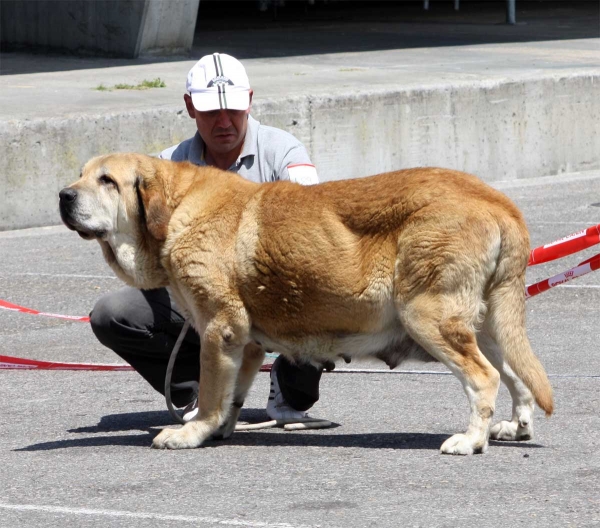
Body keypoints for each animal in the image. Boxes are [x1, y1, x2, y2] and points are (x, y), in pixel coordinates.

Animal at [59, 153, 552, 454]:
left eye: (107, 181)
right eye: (81, 175)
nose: (64, 195)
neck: (177, 208)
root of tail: (497, 200)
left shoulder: (220, 328)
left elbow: (214, 392)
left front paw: (192, 432)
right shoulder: (245, 342)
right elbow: (233, 394)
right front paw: (220, 429)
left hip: (428, 317)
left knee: (484, 378)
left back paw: (470, 439)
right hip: (485, 325)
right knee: (516, 375)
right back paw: (513, 427)